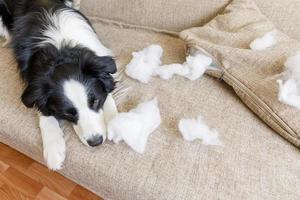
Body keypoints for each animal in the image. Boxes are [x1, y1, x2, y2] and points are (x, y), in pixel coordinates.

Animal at [0, 0, 118, 170]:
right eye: (67, 113)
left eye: (95, 101)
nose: (95, 142)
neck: (60, 51)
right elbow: (43, 111)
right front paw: (54, 149)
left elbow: (107, 93)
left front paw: (117, 124)